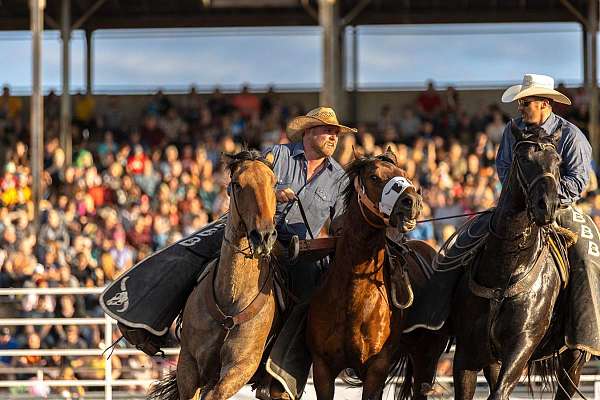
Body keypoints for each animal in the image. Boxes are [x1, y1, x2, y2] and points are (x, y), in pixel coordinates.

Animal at [146, 149, 278, 400]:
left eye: (274, 183)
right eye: (237, 184)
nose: (264, 236)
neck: (231, 298)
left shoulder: (239, 369)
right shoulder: (188, 363)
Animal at [308, 150, 438, 400]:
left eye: (403, 173)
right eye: (374, 176)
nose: (413, 201)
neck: (353, 296)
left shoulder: (377, 369)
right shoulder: (322, 368)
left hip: (427, 357)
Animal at [450, 122, 584, 400]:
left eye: (558, 160)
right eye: (523, 158)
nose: (547, 206)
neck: (506, 268)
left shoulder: (522, 346)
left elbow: (500, 392)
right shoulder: (466, 353)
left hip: (573, 357)